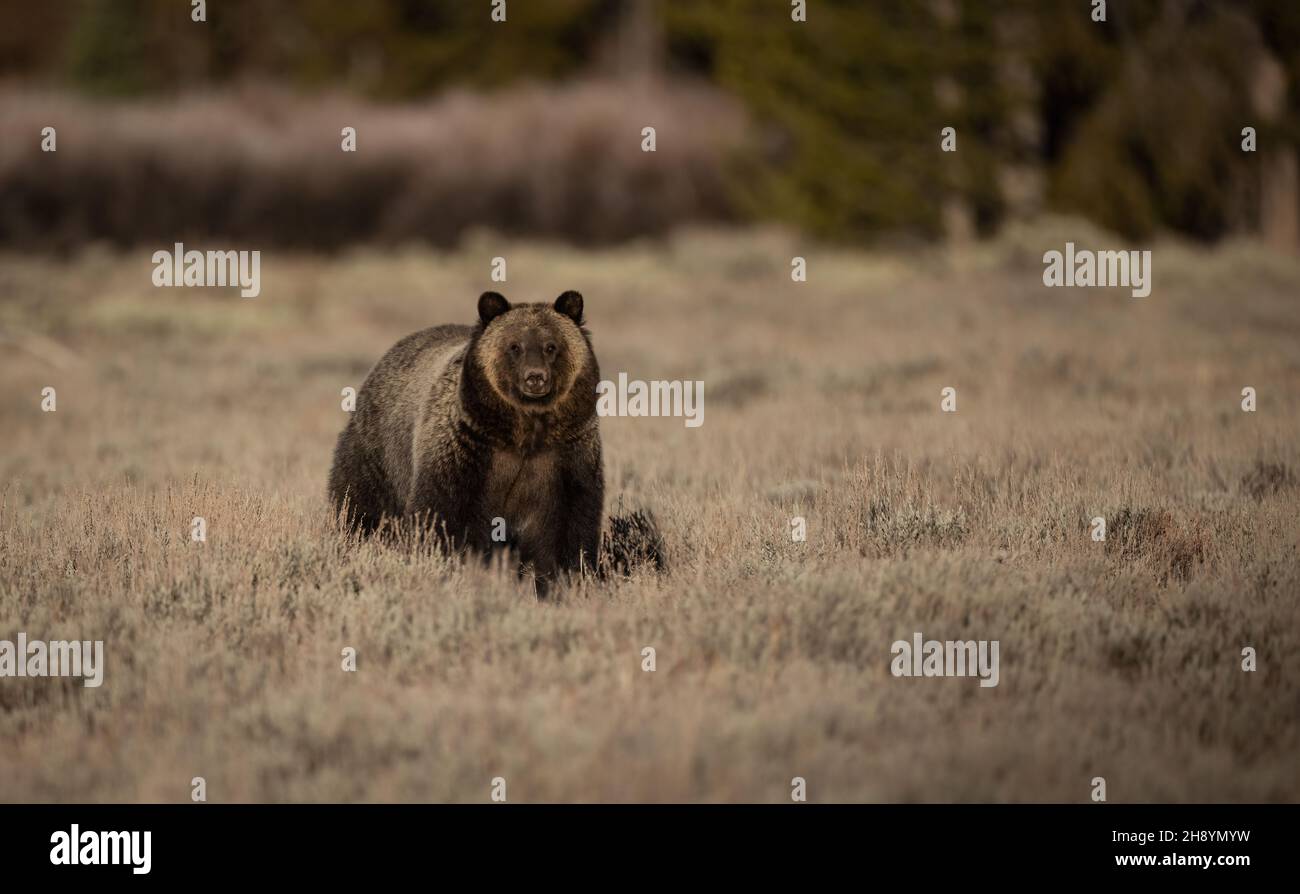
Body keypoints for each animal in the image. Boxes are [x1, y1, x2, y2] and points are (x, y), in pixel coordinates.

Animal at [328, 290, 604, 583]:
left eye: (551, 346)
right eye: (514, 346)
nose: (535, 378)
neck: (523, 432)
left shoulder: (564, 459)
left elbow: (567, 530)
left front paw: (565, 578)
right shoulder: (467, 452)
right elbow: (443, 517)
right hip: (378, 454)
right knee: (360, 504)